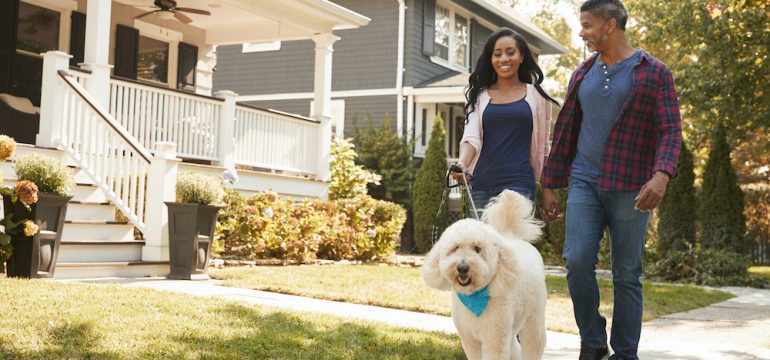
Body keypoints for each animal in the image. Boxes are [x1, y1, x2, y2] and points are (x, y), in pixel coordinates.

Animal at [420, 190, 544, 358]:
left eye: (477, 249)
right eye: (455, 248)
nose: (462, 267)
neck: (474, 297)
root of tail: (511, 236)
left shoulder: (494, 338)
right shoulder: (470, 340)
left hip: (533, 317)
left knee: (533, 344)